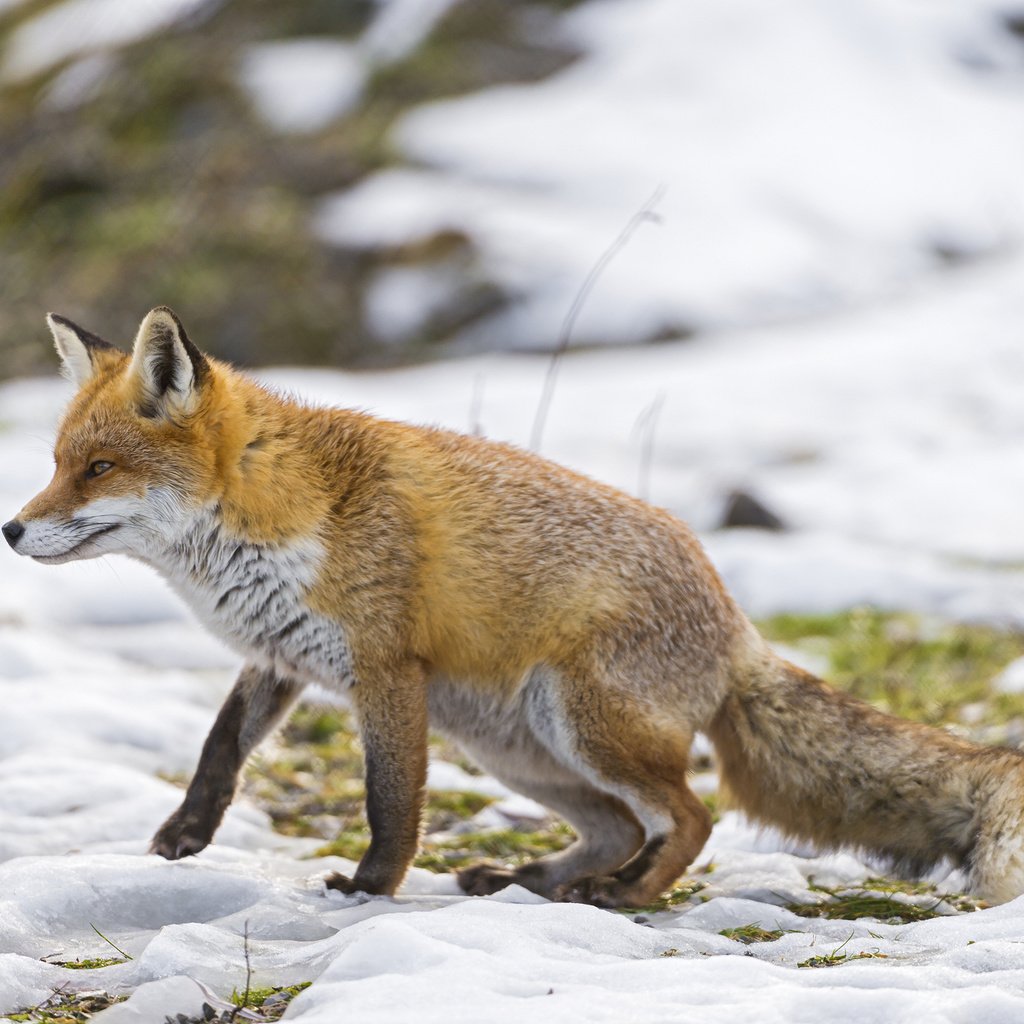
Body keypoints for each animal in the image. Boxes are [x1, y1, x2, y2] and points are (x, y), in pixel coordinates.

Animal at [6, 303, 1024, 905]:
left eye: (97, 469)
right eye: (56, 463)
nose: (11, 530)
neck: (275, 509)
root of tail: (736, 625)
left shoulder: (384, 670)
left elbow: (390, 800)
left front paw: (371, 887)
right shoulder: (282, 654)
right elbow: (220, 751)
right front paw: (181, 838)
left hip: (580, 723)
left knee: (691, 817)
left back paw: (622, 894)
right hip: (512, 745)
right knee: (621, 824)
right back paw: (527, 877)